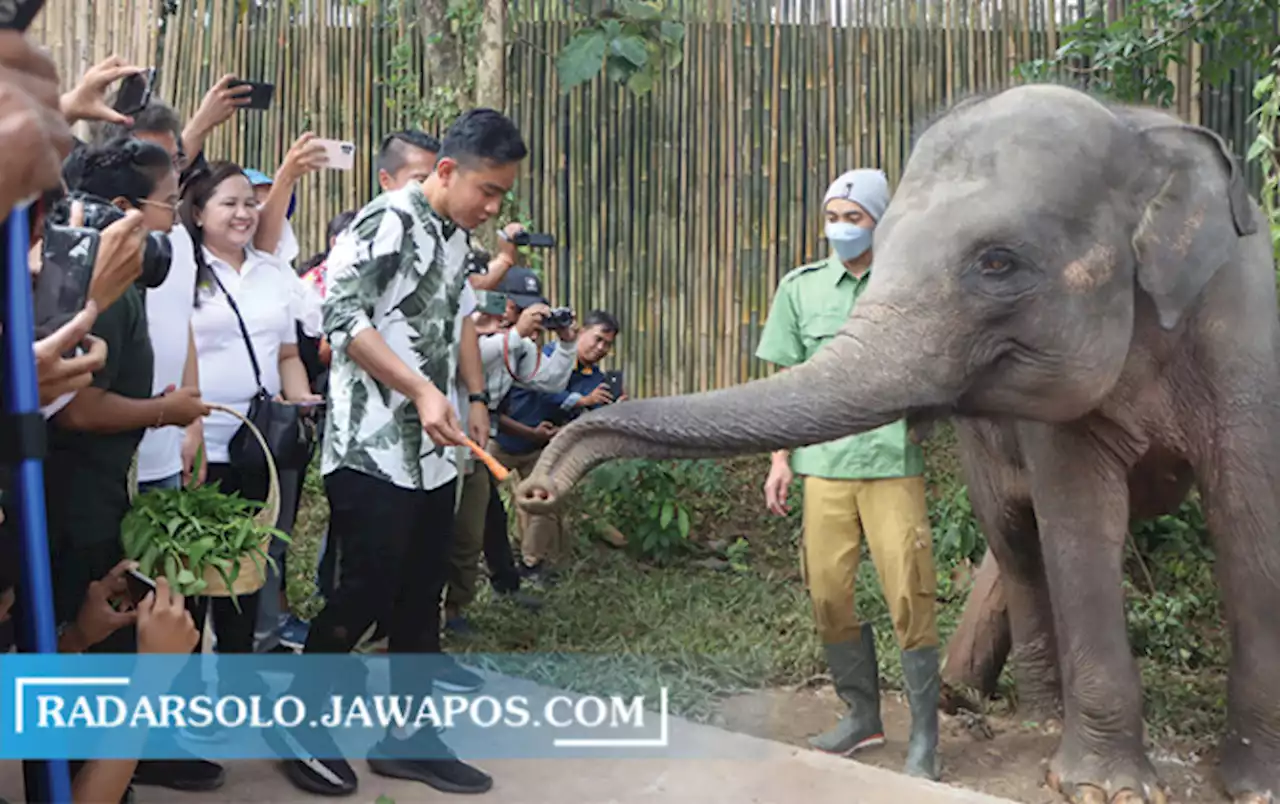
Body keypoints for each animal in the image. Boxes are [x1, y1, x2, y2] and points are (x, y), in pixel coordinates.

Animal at [514, 83, 1280, 803]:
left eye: (998, 263)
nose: (537, 491)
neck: (1139, 131)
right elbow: (1079, 528)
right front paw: (1102, 787)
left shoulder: (1248, 331)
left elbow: (1250, 526)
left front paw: (1252, 784)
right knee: (1016, 538)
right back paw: (1033, 714)